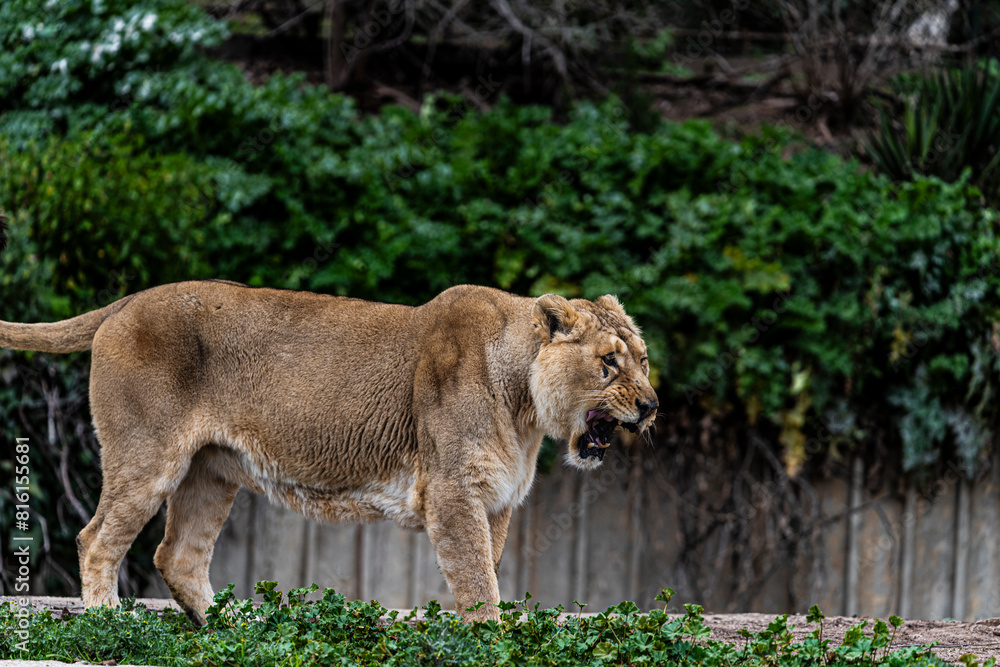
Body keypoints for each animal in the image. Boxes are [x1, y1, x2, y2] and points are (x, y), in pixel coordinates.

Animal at [0, 281, 657, 623]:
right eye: (608, 363)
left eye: (643, 360)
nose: (652, 406)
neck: (524, 405)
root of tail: (128, 300)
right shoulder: (453, 494)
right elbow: (479, 587)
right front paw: (489, 644)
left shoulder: (494, 503)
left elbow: (487, 575)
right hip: (148, 457)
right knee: (97, 539)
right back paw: (109, 626)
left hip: (210, 472)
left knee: (177, 555)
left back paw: (240, 636)